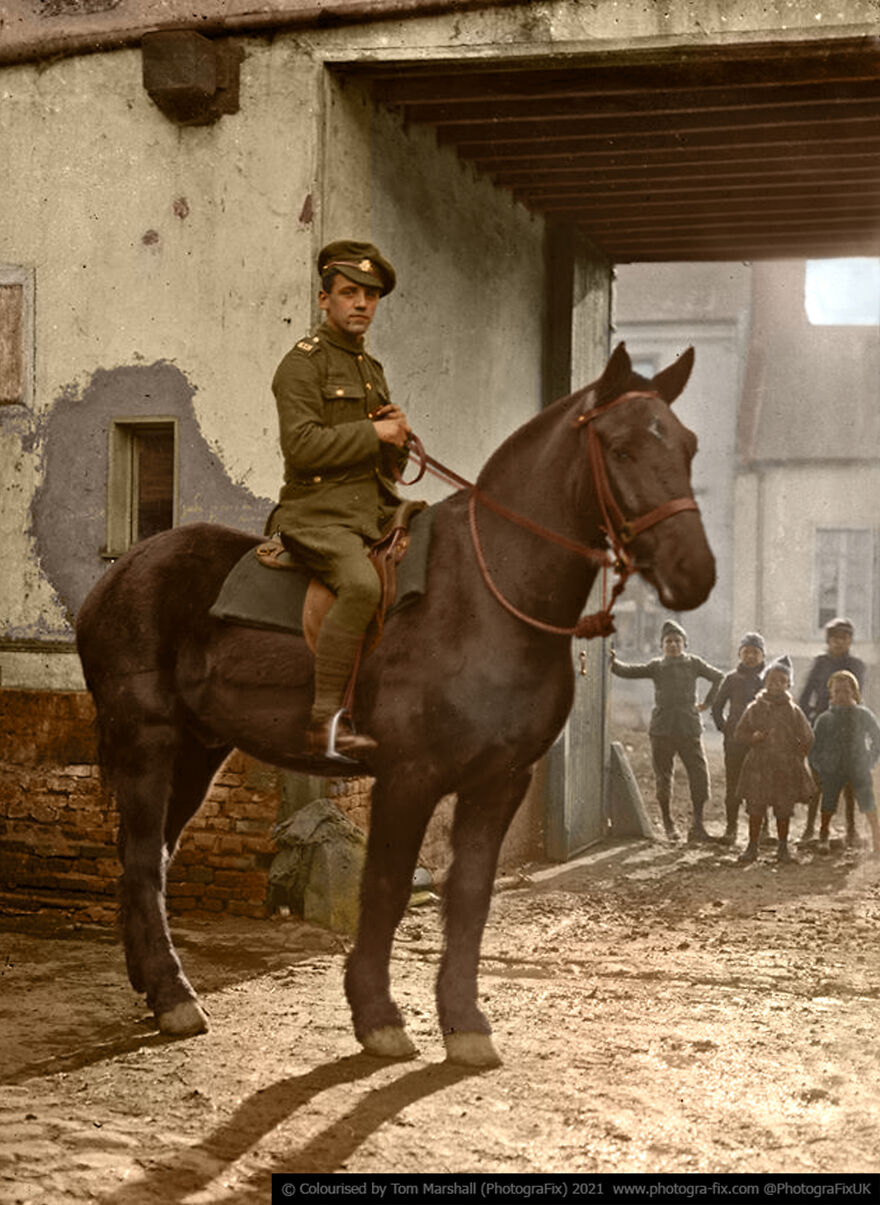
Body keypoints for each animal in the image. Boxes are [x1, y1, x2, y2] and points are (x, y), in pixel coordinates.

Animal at [75, 342, 715, 1068]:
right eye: (623, 447)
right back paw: (173, 995)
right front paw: (378, 1015)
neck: (488, 598)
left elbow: (470, 894)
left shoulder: (500, 781)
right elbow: (385, 885)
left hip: (198, 751)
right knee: (140, 859)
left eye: (687, 446)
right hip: (148, 744)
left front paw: (465, 1022)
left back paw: (154, 985)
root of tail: (119, 574)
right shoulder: (408, 777)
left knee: (149, 856)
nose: (695, 572)